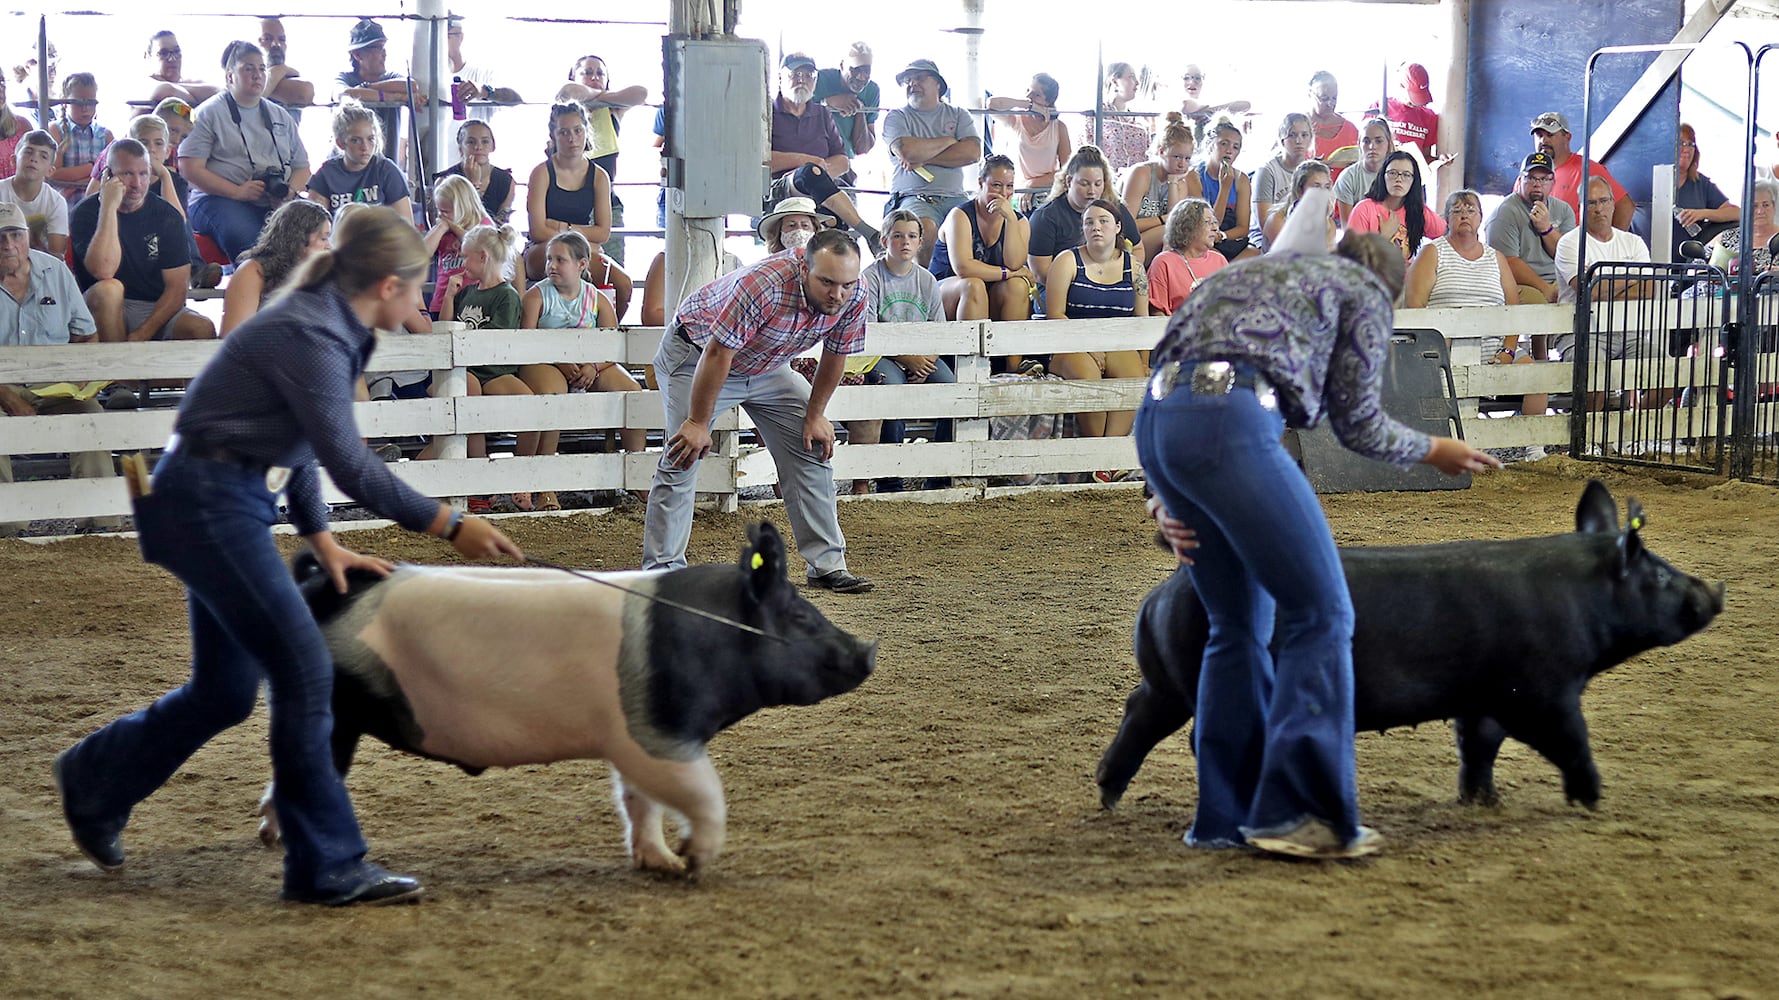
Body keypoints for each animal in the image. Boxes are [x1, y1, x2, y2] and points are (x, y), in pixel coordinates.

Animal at [265, 523, 875, 871]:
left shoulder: (636, 738)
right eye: (800, 615)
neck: (707, 635)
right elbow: (703, 794)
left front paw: (658, 864)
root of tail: (319, 585)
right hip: (337, 710)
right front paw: (692, 863)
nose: (868, 649)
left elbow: (638, 800)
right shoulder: (658, 735)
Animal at [1095, 480, 1722, 811]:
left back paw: (1107, 795)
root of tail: (1175, 583)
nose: (1714, 591)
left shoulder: (1483, 695)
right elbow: (1569, 738)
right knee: (1201, 738)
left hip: (1166, 679)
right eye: (1659, 574)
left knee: (1140, 713)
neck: (1577, 593)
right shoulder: (1541, 689)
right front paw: (1591, 800)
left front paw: (1483, 802)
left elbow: (1480, 745)